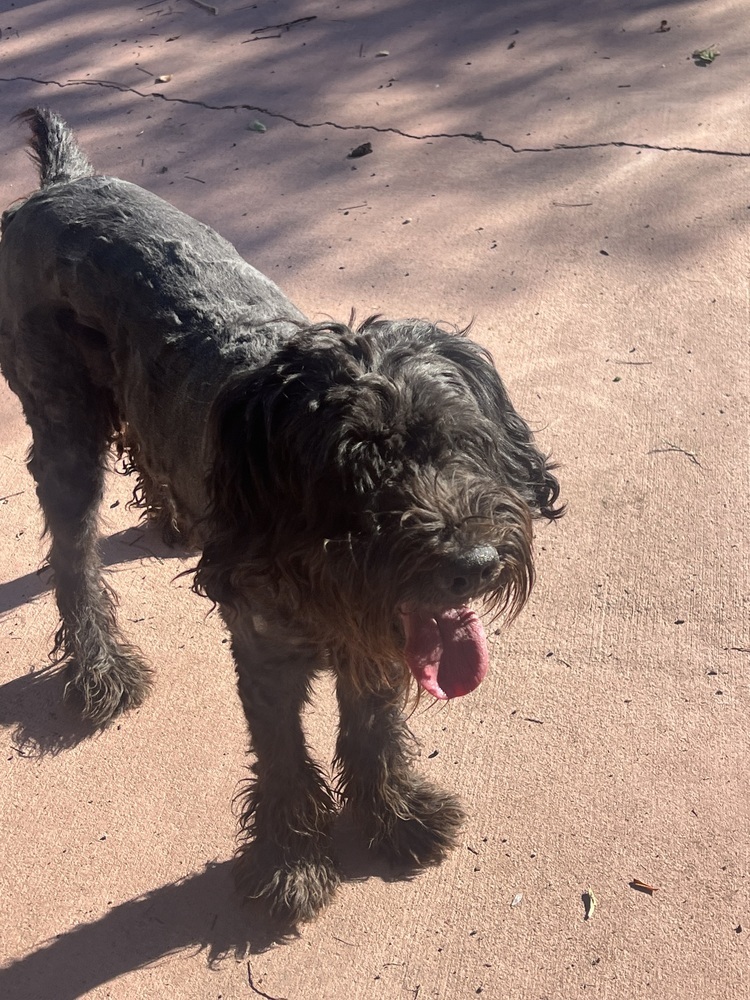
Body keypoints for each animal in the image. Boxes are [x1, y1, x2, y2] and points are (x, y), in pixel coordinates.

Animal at [0, 107, 564, 920]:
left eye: (459, 440)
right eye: (353, 468)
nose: (474, 565)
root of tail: (61, 182)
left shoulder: (380, 633)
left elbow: (371, 729)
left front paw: (393, 814)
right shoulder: (266, 653)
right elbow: (284, 757)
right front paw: (292, 861)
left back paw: (175, 521)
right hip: (63, 428)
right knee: (73, 556)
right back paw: (99, 668)